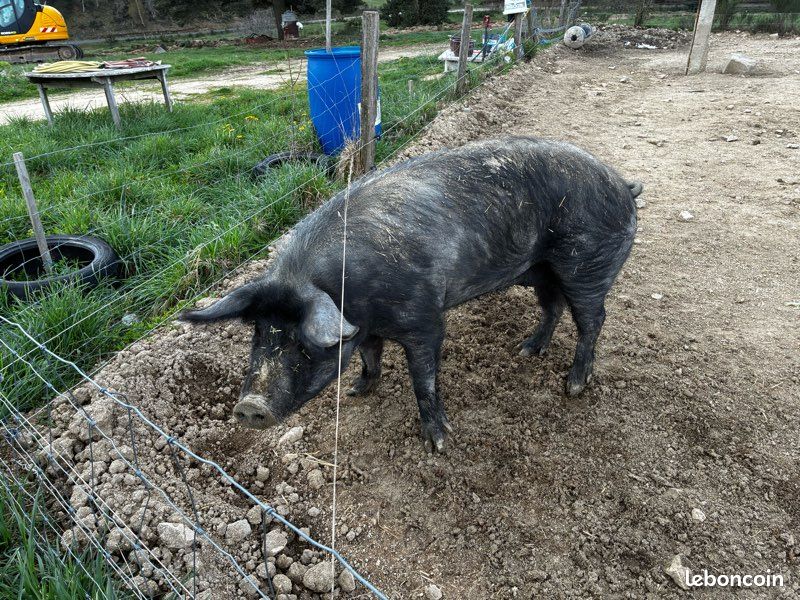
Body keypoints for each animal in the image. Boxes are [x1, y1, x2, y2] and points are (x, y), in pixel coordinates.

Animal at [181, 137, 641, 453]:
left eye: (302, 341)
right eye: (258, 334)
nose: (247, 406)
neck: (348, 293)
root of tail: (623, 184)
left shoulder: (425, 320)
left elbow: (424, 379)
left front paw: (439, 443)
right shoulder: (364, 328)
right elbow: (370, 358)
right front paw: (357, 391)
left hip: (588, 264)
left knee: (593, 319)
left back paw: (574, 385)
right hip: (543, 270)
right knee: (553, 306)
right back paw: (526, 350)